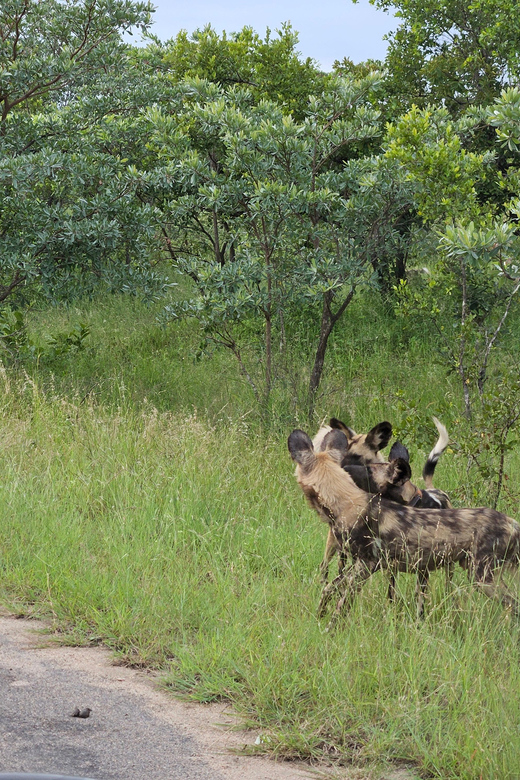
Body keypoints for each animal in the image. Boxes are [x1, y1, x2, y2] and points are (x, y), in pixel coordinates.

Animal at [288, 430, 520, 624]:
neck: (344, 501)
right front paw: (319, 617)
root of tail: (512, 522)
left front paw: (331, 629)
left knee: (513, 604)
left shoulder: (366, 565)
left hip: (482, 578)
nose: (346, 467)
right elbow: (328, 589)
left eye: (368, 469)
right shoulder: (359, 564)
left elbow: (341, 605)